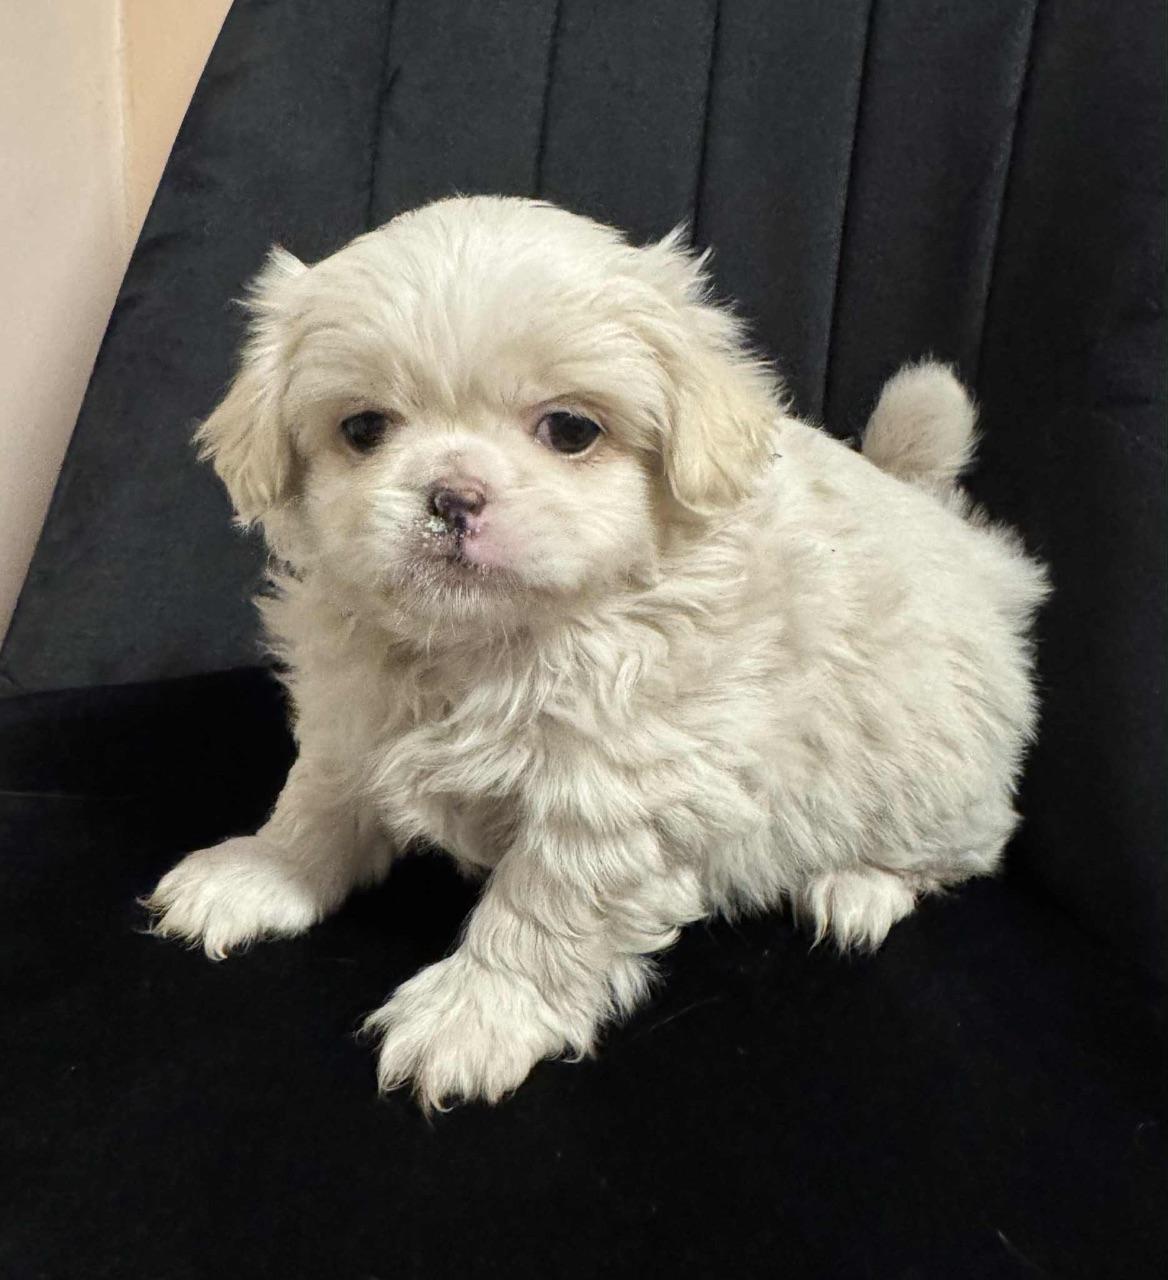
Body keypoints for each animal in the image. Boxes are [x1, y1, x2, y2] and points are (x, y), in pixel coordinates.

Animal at [146, 196, 1048, 1108]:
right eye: (363, 429)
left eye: (571, 430)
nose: (452, 496)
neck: (484, 650)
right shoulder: (351, 715)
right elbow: (318, 802)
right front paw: (262, 873)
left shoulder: (618, 792)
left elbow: (545, 908)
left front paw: (476, 1014)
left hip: (936, 777)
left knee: (963, 849)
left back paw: (858, 885)